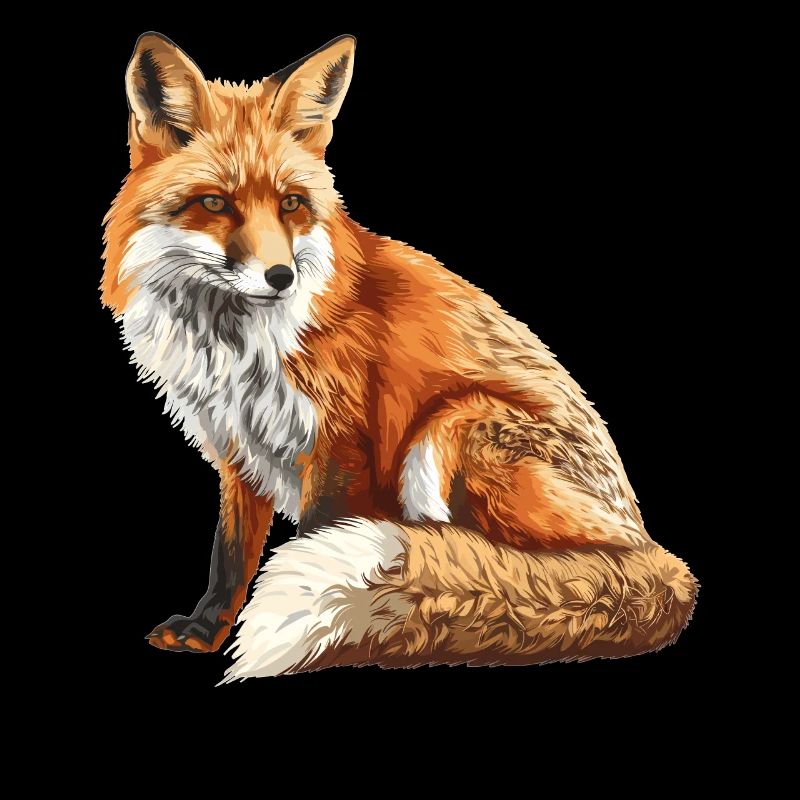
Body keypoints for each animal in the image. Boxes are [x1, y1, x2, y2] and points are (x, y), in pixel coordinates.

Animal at [102, 32, 697, 680]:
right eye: (214, 203)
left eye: (290, 204)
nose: (281, 277)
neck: (235, 343)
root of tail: (651, 548)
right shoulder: (239, 446)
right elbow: (230, 556)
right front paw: (207, 631)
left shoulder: (338, 444)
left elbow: (313, 536)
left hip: (450, 429)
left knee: (490, 561)